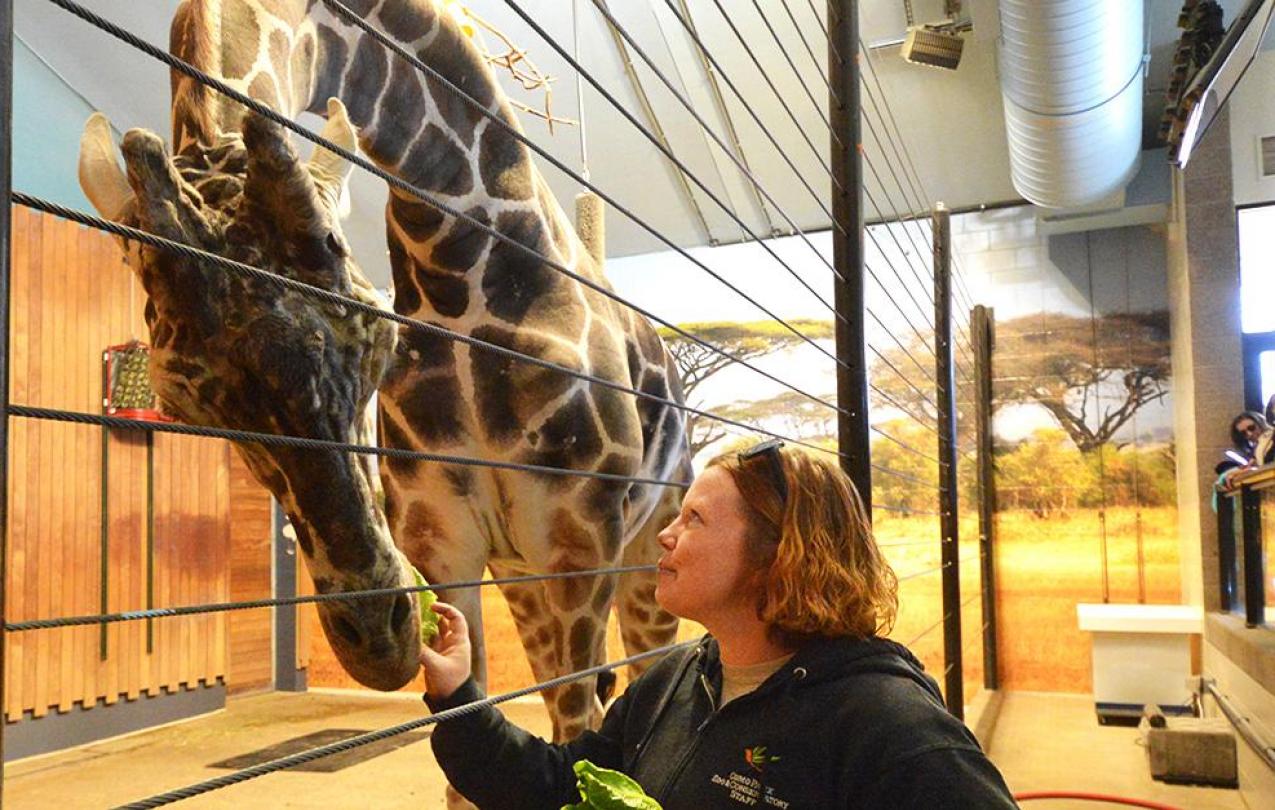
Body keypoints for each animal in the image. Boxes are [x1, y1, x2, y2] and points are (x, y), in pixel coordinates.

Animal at [78, 0, 688, 765]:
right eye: (180, 399)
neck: (457, 274)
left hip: (646, 548)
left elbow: (582, 730)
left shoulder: (579, 540)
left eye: (372, 328)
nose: (376, 638)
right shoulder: (442, 539)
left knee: (638, 667)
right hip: (521, 573)